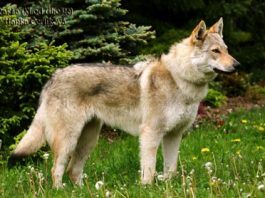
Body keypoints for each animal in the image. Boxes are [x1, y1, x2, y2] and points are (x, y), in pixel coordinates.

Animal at [8, 18, 239, 187]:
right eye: (215, 51)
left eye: (227, 49)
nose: (237, 65)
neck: (180, 80)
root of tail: (53, 77)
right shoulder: (150, 134)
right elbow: (149, 170)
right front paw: (148, 189)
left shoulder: (174, 135)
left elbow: (170, 169)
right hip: (68, 140)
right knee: (56, 170)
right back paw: (60, 190)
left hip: (88, 140)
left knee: (73, 170)